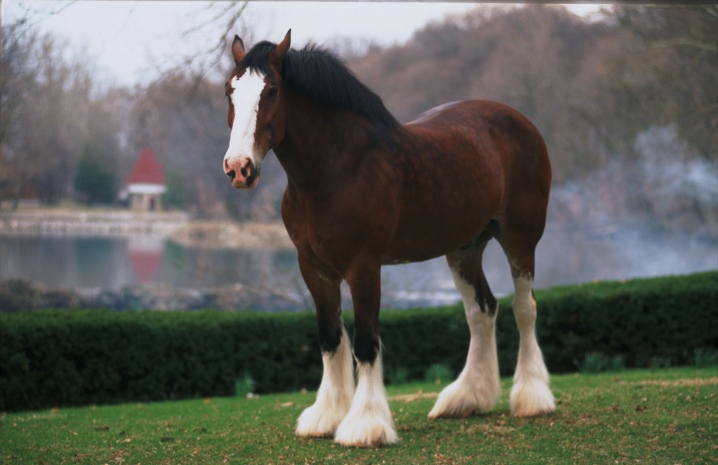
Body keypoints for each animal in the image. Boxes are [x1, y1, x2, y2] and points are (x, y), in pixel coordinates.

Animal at [222, 30, 556, 444]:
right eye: (229, 91)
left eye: (271, 91)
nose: (239, 168)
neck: (337, 168)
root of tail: (520, 121)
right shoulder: (314, 268)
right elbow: (330, 338)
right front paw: (327, 416)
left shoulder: (364, 267)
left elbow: (366, 342)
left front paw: (365, 424)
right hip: (464, 249)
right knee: (482, 310)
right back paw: (467, 398)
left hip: (520, 239)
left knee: (524, 308)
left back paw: (532, 397)